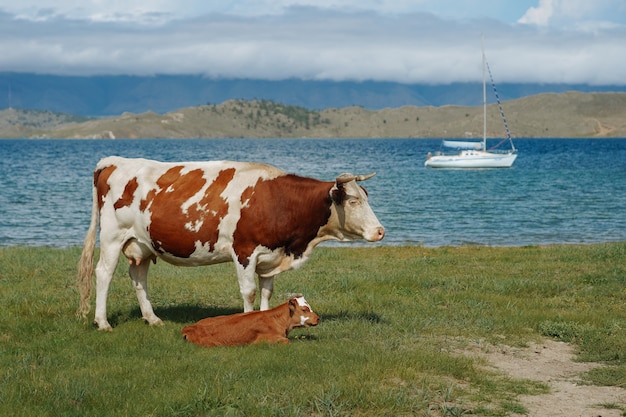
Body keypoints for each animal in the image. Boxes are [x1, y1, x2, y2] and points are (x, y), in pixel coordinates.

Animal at [76, 156, 382, 328]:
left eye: (366, 198)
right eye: (353, 201)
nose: (380, 231)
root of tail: (112, 161)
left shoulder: (270, 255)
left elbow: (267, 292)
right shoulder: (244, 251)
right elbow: (249, 292)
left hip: (142, 242)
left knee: (138, 276)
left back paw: (152, 319)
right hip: (113, 236)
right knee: (104, 273)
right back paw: (102, 322)